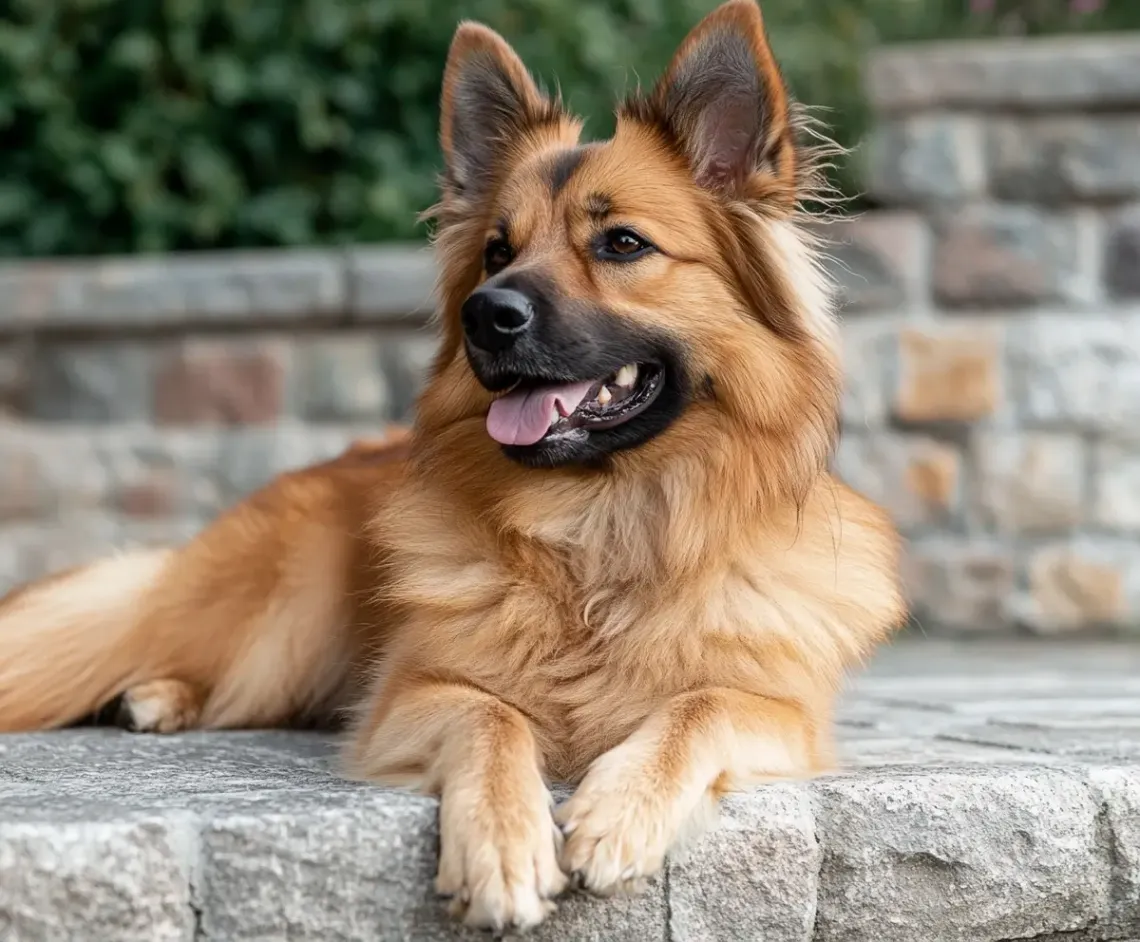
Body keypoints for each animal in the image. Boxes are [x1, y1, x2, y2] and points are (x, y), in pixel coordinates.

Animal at [2, 0, 907, 926]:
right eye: (496, 252)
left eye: (622, 244)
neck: (597, 536)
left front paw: (619, 812)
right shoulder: (412, 694)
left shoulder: (784, 711)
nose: (485, 315)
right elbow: (490, 719)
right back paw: (156, 692)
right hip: (278, 617)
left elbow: (702, 705)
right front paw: (503, 844)